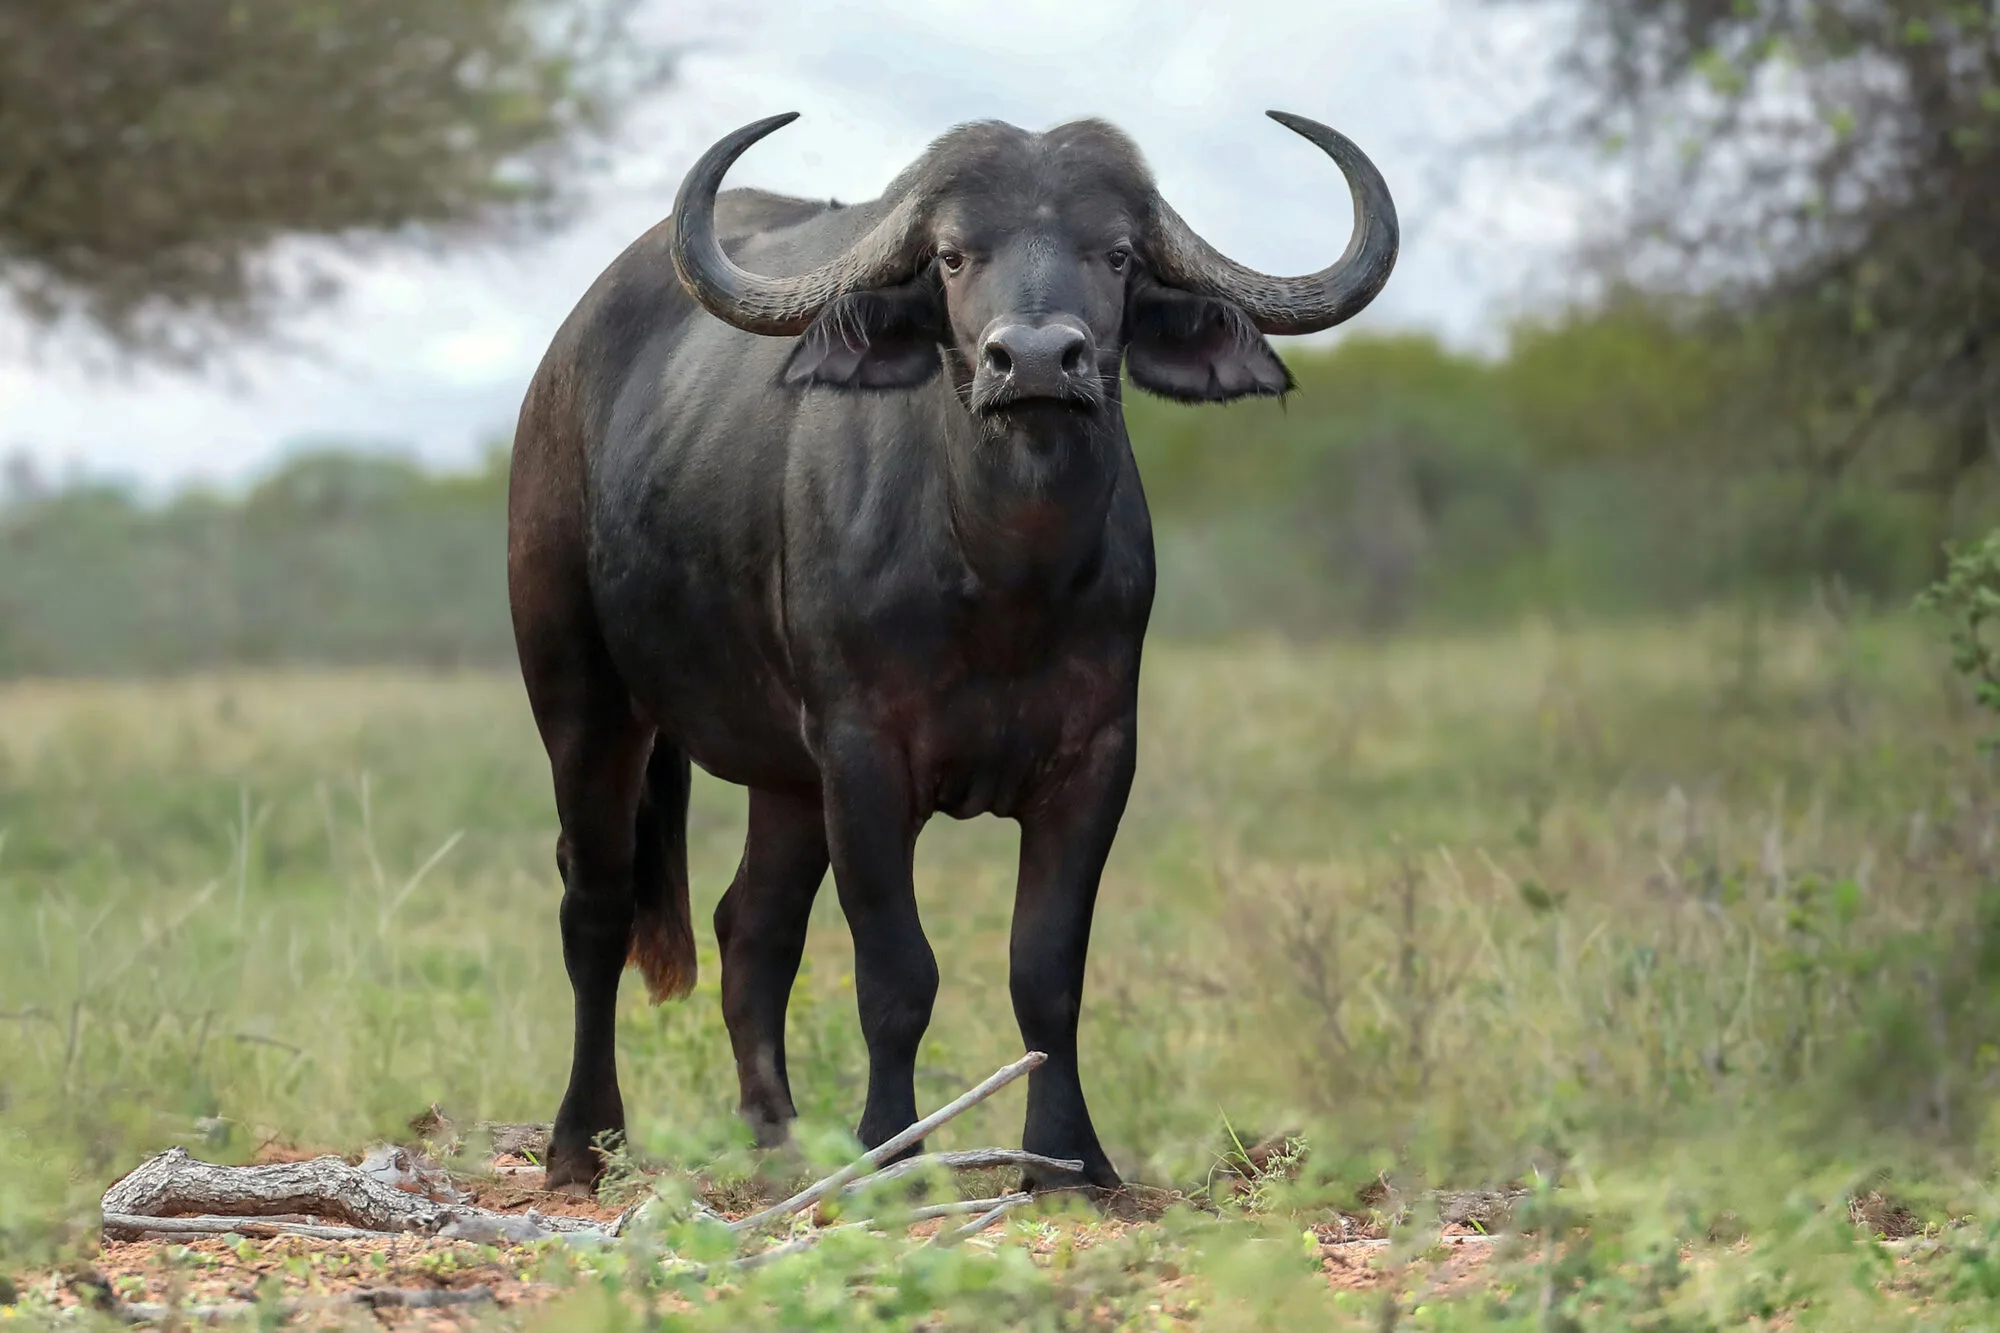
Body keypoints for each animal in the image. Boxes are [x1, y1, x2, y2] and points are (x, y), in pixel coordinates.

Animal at [507, 109, 1397, 1194]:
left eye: (1115, 253)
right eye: (952, 255)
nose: (1037, 359)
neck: (1001, 578)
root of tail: (560, 372)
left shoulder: (1097, 756)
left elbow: (1045, 970)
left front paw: (1068, 1155)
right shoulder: (862, 757)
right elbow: (897, 973)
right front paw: (890, 1151)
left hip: (784, 777)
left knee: (750, 926)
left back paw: (779, 1141)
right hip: (580, 694)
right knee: (594, 905)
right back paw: (581, 1142)